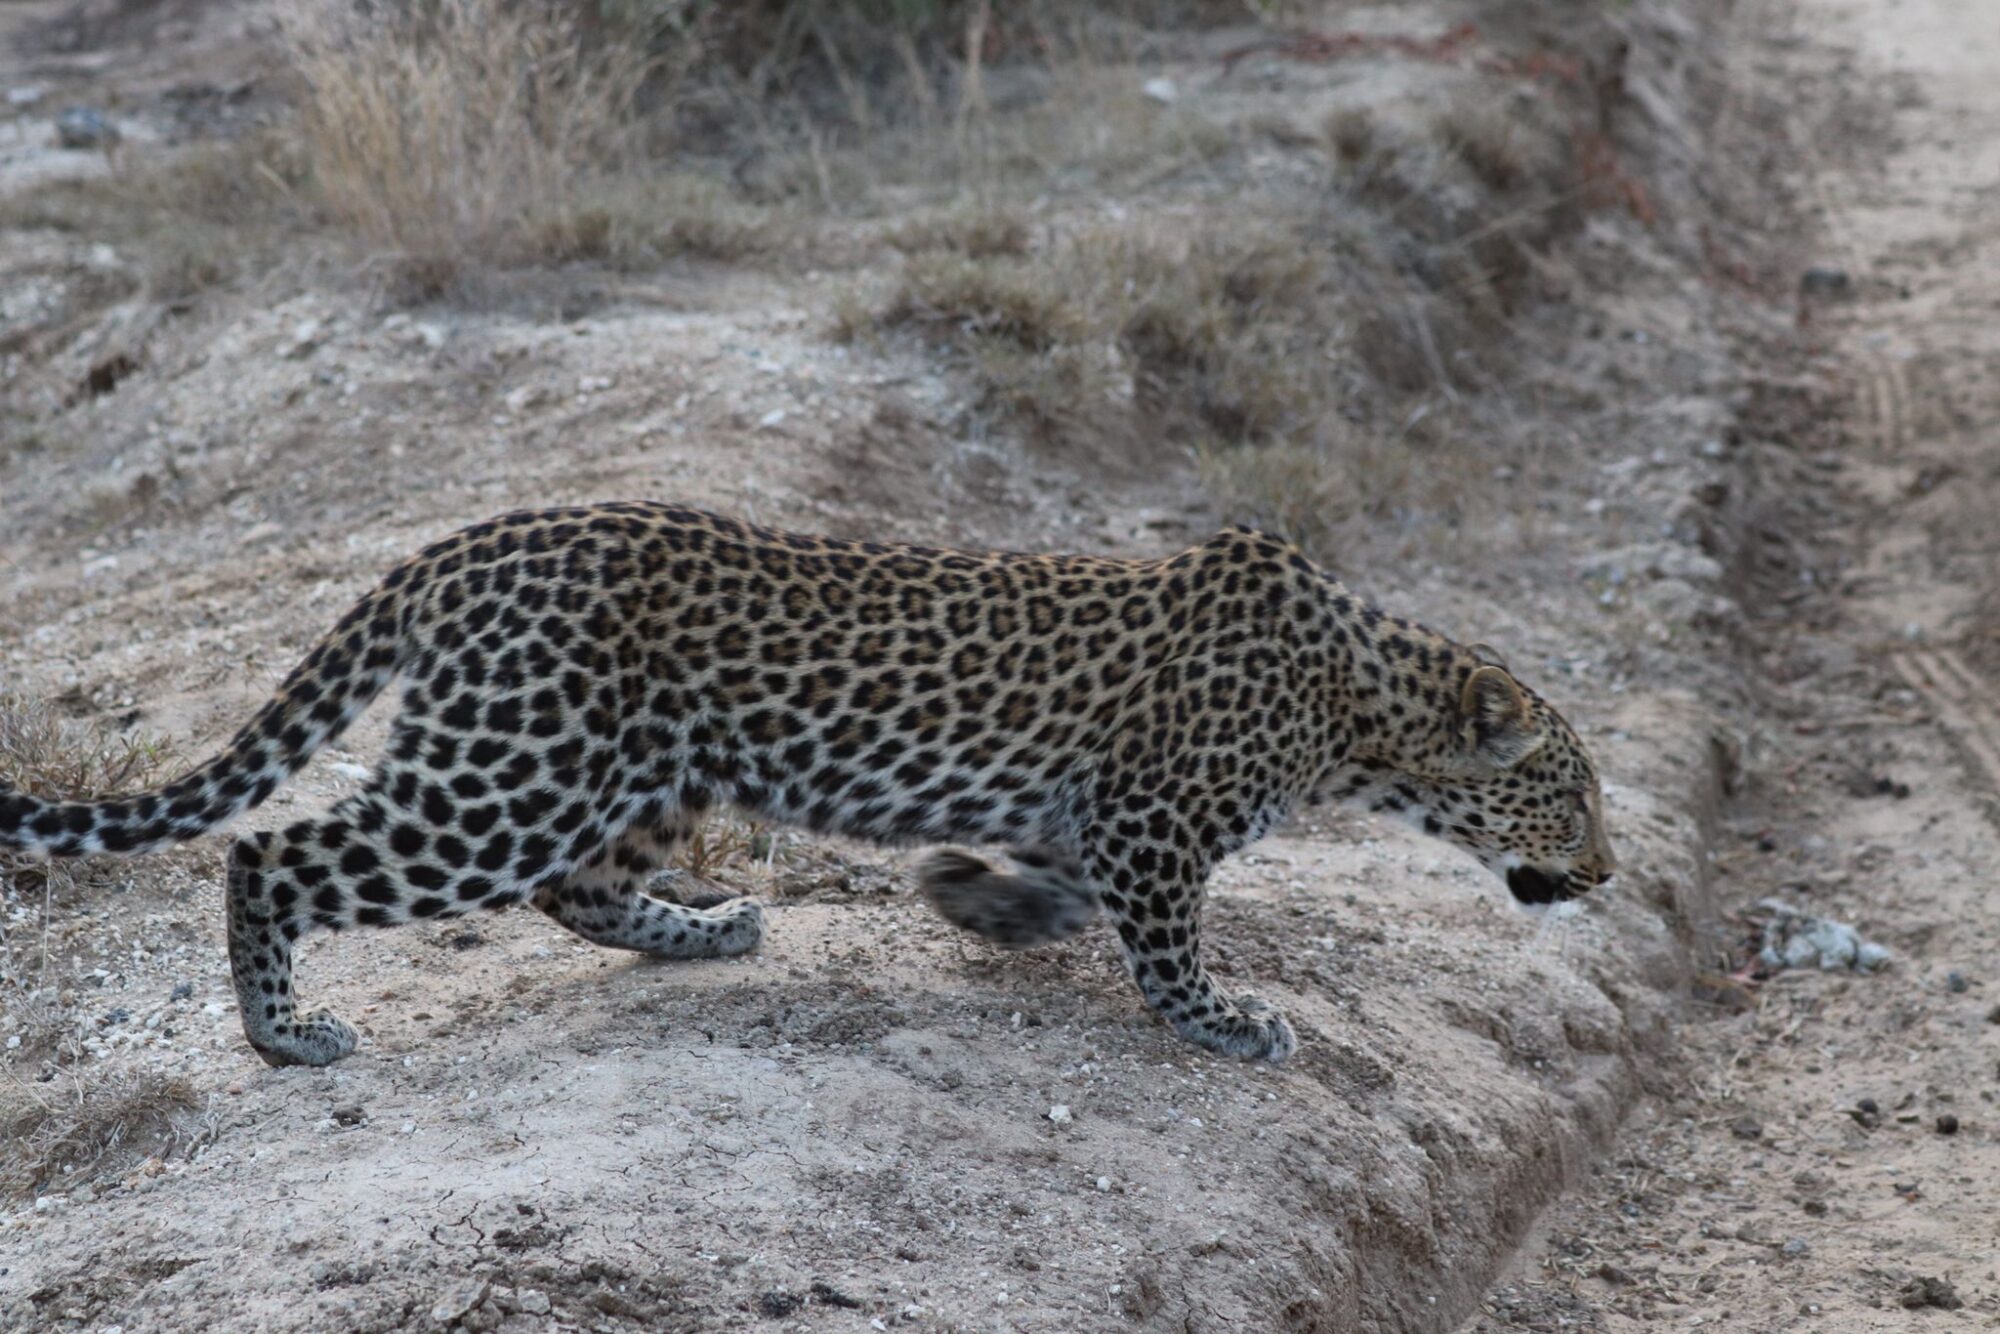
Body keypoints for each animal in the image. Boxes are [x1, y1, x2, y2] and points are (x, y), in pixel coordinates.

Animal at [1, 503, 1616, 1068]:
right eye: (1573, 798)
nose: (1604, 877)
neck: (1361, 711)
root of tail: (461, 546)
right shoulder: (1156, 825)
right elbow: (1164, 947)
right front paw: (1226, 1022)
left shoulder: (1096, 819)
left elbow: (1051, 890)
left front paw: (965, 897)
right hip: (512, 776)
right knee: (273, 854)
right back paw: (284, 1034)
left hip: (633, 770)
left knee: (576, 888)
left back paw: (707, 928)